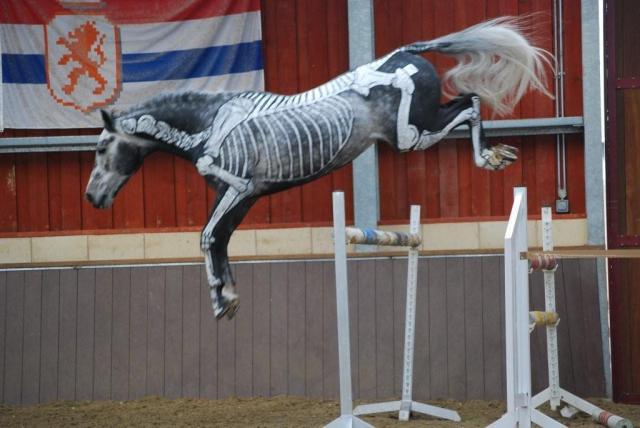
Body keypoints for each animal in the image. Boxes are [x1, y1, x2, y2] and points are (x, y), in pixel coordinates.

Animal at [85, 16, 552, 319]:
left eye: (103, 146)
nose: (93, 197)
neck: (211, 124)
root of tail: (408, 52)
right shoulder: (240, 198)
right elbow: (219, 241)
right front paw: (229, 298)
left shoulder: (238, 190)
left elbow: (207, 237)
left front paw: (221, 301)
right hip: (423, 125)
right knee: (469, 100)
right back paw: (496, 155)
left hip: (411, 135)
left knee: (469, 105)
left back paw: (490, 158)